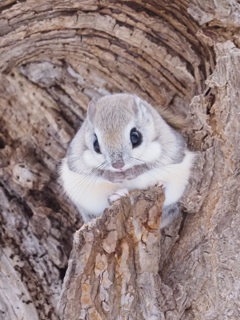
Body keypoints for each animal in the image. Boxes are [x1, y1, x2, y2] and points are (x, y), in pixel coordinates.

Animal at [60, 92, 195, 228]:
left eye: (135, 136)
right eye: (95, 144)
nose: (118, 165)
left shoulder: (172, 148)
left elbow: (152, 164)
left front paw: (134, 171)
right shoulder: (75, 157)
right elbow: (93, 171)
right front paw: (112, 176)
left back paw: (159, 184)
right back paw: (116, 196)